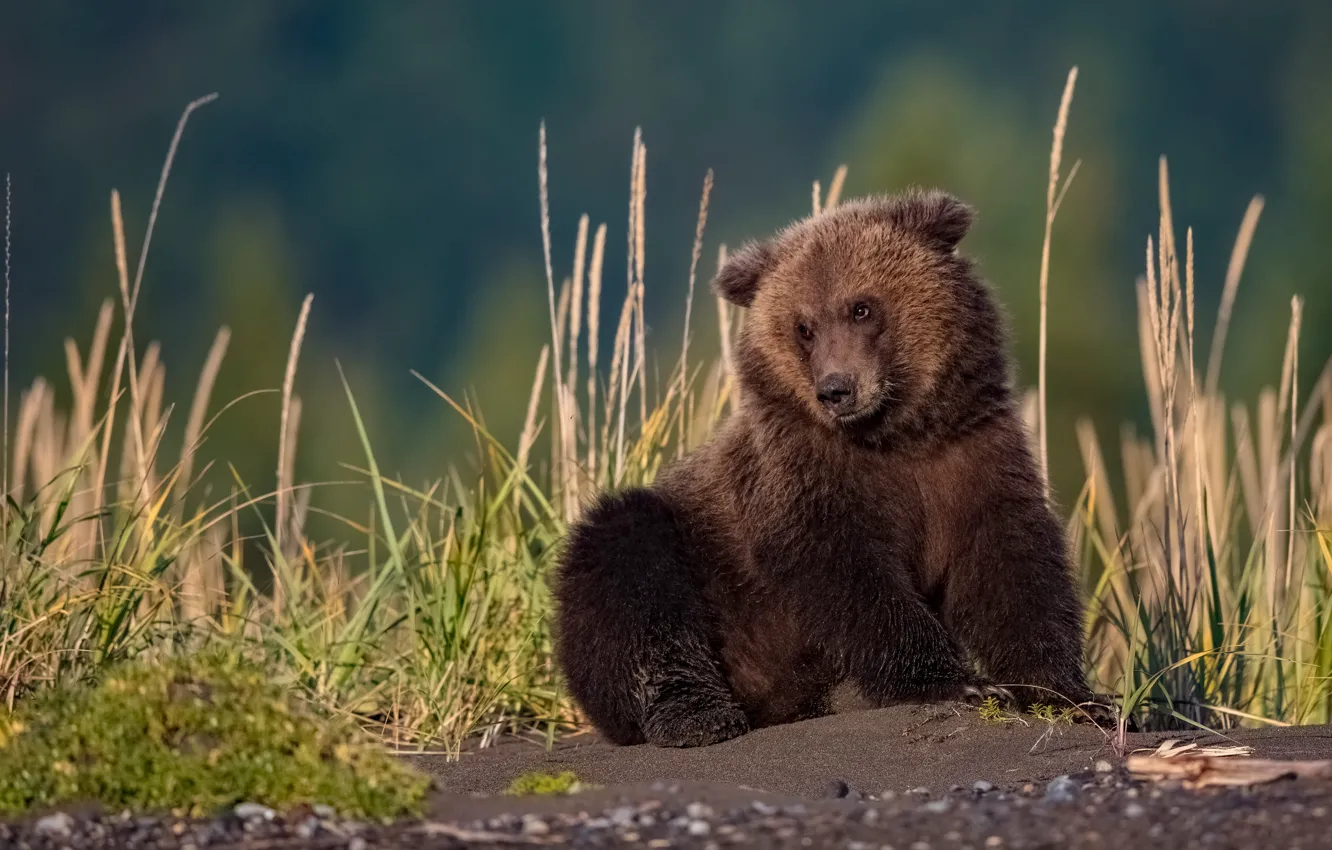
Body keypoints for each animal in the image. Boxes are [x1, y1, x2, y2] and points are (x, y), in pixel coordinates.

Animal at [552, 188, 1097, 747]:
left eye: (861, 307)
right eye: (803, 327)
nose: (836, 389)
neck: (898, 434)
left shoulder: (972, 453)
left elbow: (1010, 565)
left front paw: (1068, 694)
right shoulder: (802, 474)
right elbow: (848, 575)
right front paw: (958, 683)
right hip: (701, 576)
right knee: (628, 565)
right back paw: (698, 716)